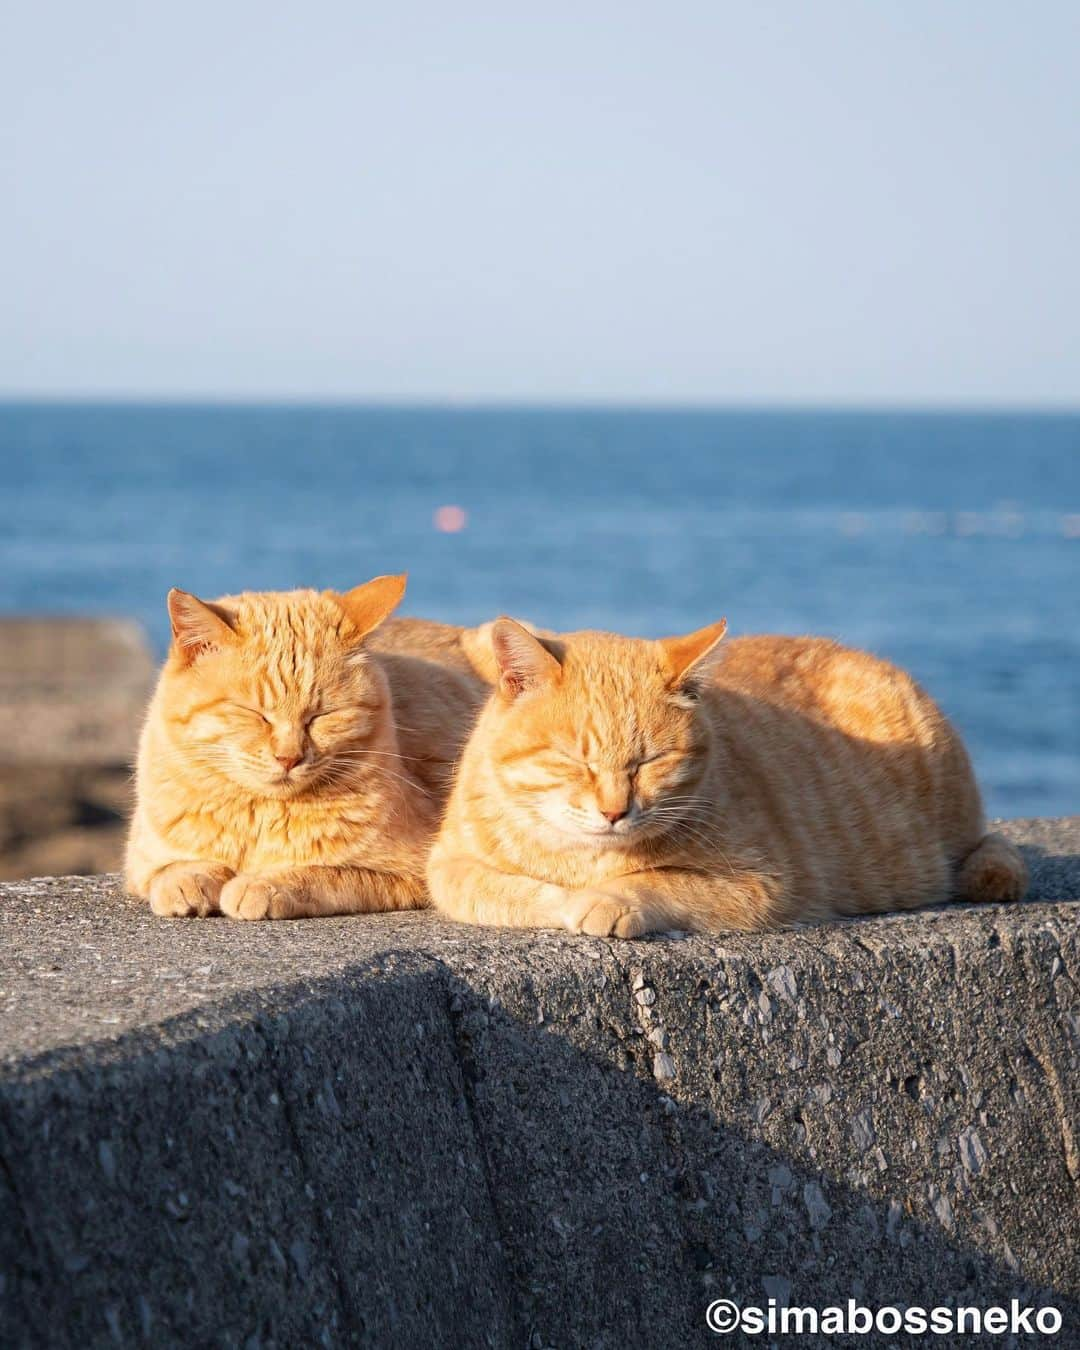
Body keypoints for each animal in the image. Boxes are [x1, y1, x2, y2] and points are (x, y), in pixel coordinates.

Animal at [122, 575, 486, 923]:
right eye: (255, 714)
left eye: (320, 716)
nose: (289, 757)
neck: (259, 817)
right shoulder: (141, 860)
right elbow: (170, 868)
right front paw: (189, 881)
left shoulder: (415, 873)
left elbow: (324, 874)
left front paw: (263, 884)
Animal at [426, 618, 1026, 934]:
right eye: (577, 760)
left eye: (649, 761)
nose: (615, 811)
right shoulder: (449, 865)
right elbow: (511, 890)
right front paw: (568, 899)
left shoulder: (760, 884)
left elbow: (653, 881)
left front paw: (604, 899)